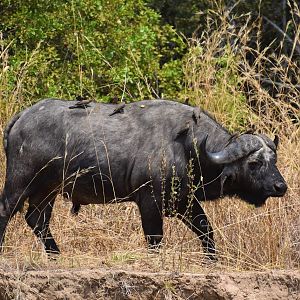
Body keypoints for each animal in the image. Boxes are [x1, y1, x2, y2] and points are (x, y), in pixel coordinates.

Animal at [0, 98, 288, 258]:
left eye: (274, 161)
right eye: (254, 163)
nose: (281, 187)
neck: (187, 146)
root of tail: (21, 117)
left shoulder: (184, 202)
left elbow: (206, 231)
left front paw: (212, 260)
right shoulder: (149, 202)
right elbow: (154, 238)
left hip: (46, 190)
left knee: (36, 220)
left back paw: (55, 254)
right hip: (21, 181)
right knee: (7, 211)